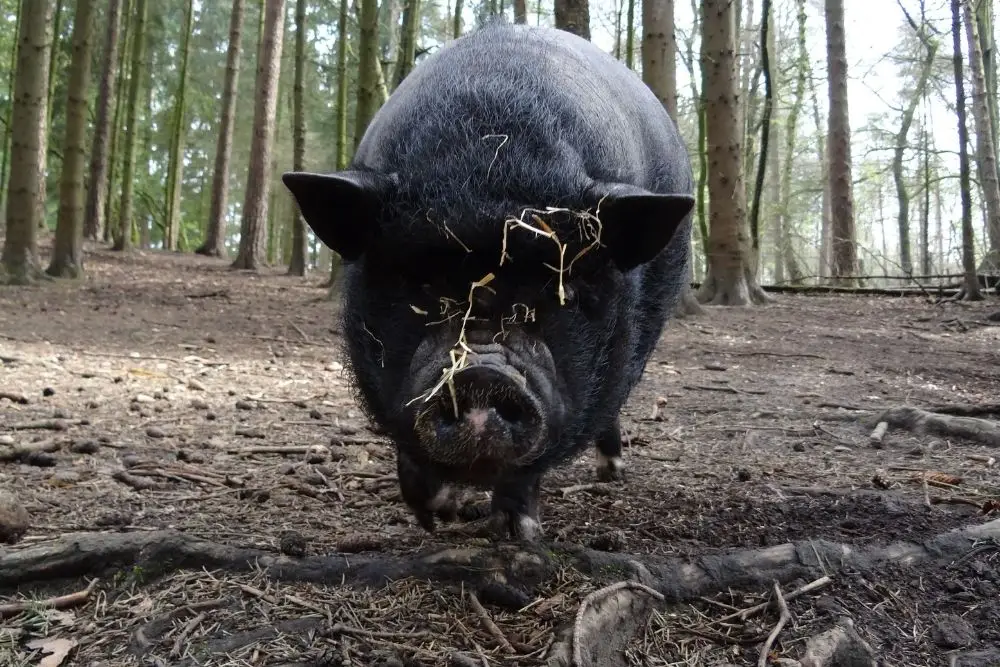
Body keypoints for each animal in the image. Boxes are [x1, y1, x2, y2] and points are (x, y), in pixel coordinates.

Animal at [282, 20, 696, 544]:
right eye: (418, 284)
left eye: (562, 291)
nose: (480, 374)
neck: (487, 162)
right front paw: (436, 516)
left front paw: (516, 532)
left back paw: (610, 473)